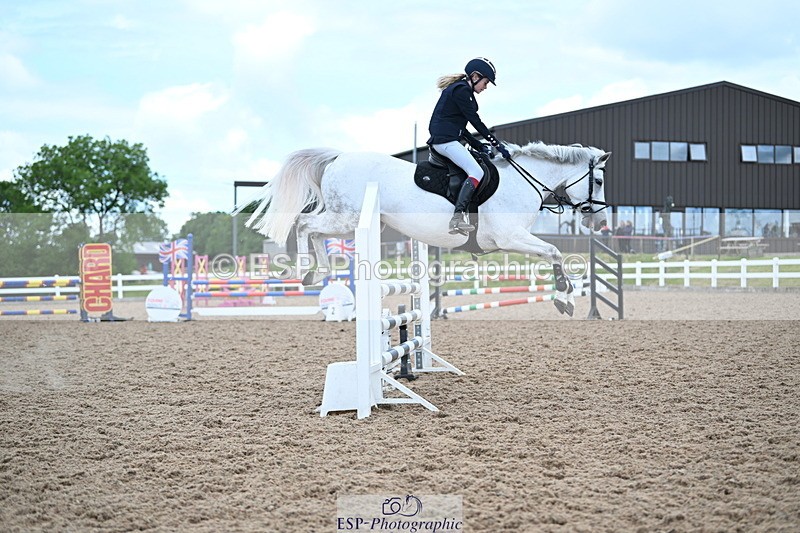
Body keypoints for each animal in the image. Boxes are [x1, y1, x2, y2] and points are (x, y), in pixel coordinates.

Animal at [239, 141, 611, 316]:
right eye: (599, 181)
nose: (600, 221)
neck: (522, 180)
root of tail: (338, 157)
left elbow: (554, 253)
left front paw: (566, 297)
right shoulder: (509, 238)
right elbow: (555, 252)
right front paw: (565, 298)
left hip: (345, 221)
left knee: (315, 232)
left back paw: (319, 273)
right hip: (347, 218)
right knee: (304, 224)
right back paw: (305, 270)